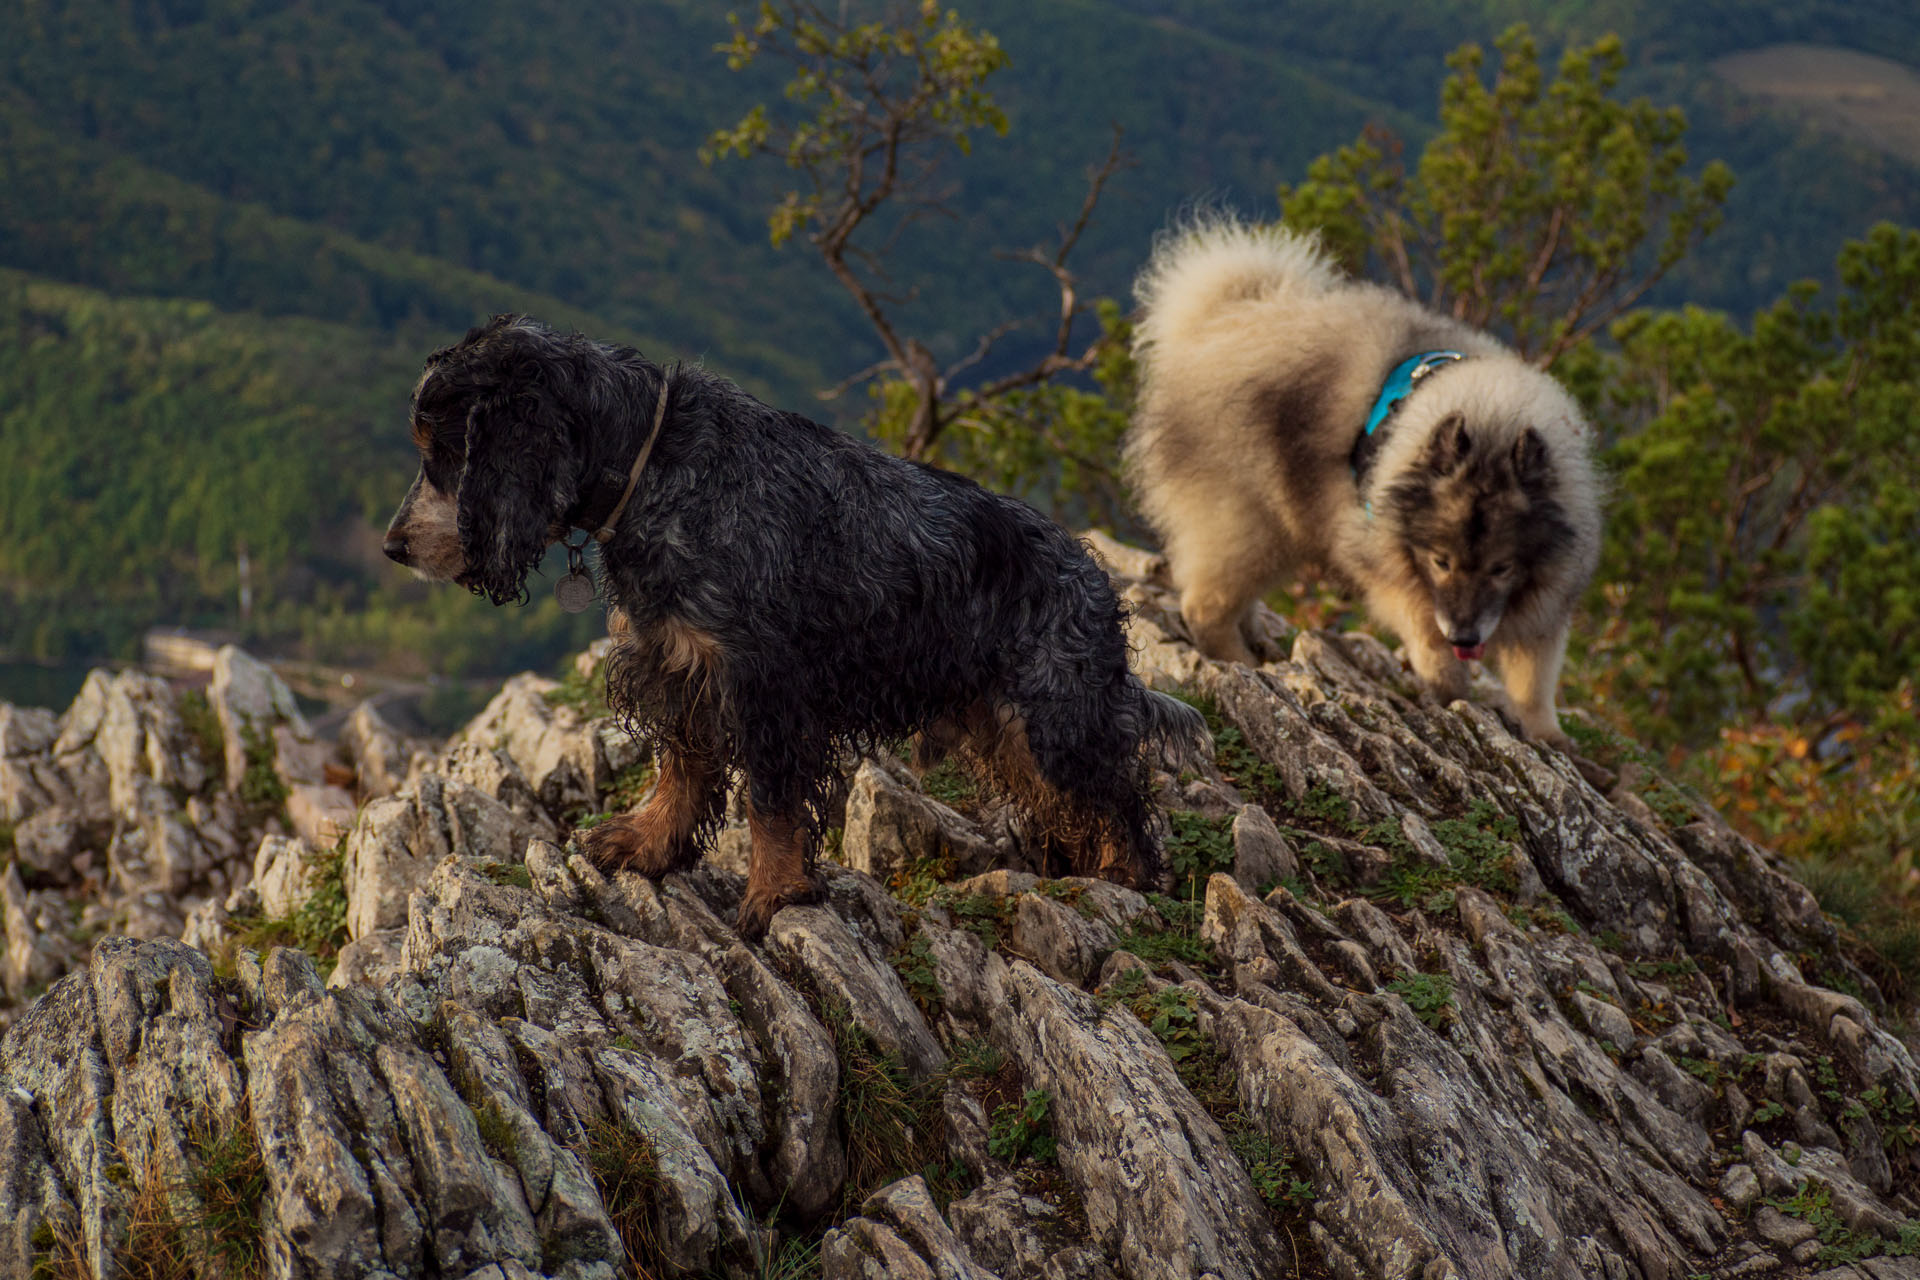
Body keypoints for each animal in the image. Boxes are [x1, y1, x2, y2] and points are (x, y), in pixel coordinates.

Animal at [382, 314, 1205, 936]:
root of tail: (1091, 575)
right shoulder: (677, 665)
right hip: (1001, 722)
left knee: (1119, 800)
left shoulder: (764, 683)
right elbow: (681, 770)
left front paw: (776, 893)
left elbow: (771, 801)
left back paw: (1123, 878)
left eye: (442, 452)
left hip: (1053, 716)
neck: (652, 468)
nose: (392, 547)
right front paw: (649, 842)